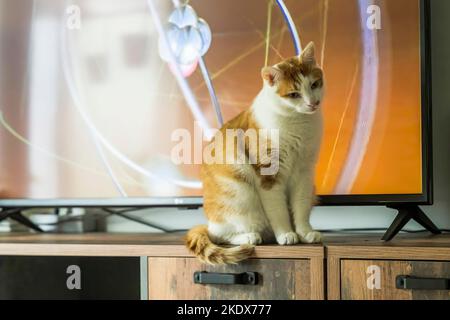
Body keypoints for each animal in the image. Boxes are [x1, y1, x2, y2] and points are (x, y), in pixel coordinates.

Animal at [185, 41, 324, 264]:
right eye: (294, 94)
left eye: (314, 84)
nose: (313, 103)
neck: (299, 124)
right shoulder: (268, 175)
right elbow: (278, 211)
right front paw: (286, 234)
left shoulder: (305, 173)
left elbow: (301, 206)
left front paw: (305, 232)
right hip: (240, 195)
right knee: (220, 235)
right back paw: (250, 237)